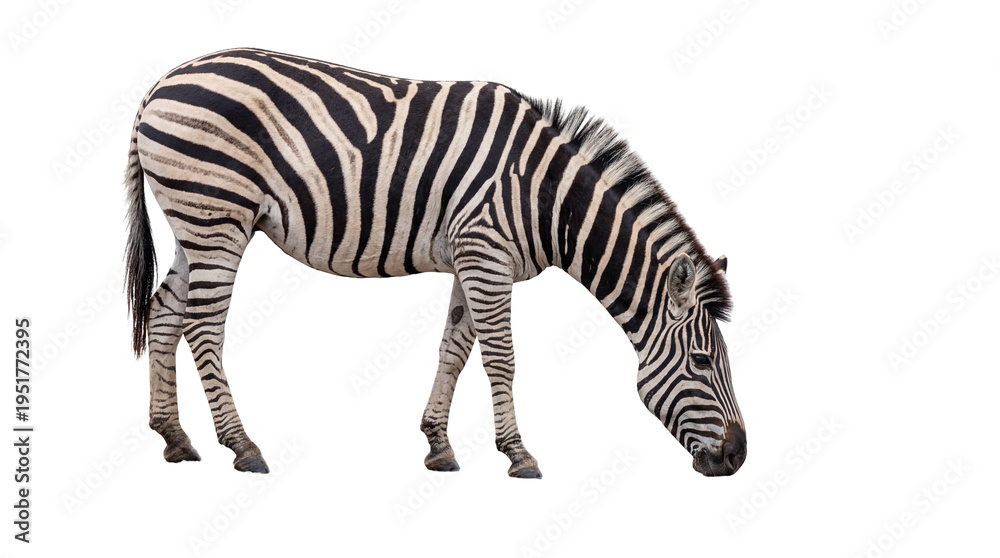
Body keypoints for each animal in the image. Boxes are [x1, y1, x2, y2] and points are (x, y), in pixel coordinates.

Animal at [125, 47, 746, 478]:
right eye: (700, 361)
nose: (738, 457)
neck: (547, 197)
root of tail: (161, 82)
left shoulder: (474, 260)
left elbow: (454, 350)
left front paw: (439, 446)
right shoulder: (486, 252)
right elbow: (501, 359)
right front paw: (519, 455)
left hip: (193, 222)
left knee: (163, 311)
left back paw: (174, 438)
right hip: (218, 215)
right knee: (204, 326)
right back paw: (242, 445)